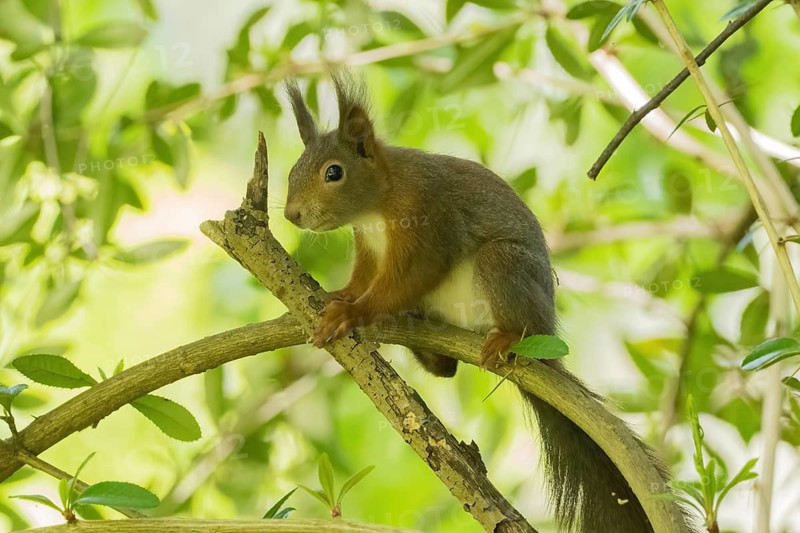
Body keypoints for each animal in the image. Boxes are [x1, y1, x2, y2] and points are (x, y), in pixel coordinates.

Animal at [282, 72, 693, 533]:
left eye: (333, 172)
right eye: (294, 169)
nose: (291, 214)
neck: (376, 206)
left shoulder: (427, 220)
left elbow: (411, 276)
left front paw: (352, 313)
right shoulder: (369, 249)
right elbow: (363, 280)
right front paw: (341, 296)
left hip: (504, 268)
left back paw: (506, 339)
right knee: (444, 369)